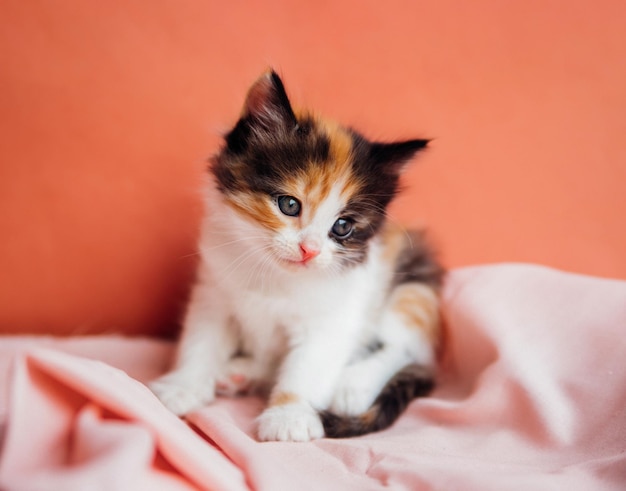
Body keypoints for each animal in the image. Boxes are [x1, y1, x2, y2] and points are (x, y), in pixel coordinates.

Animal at [149, 69, 444, 442]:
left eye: (343, 227)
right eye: (289, 205)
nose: (310, 250)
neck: (274, 276)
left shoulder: (334, 313)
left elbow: (309, 365)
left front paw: (289, 416)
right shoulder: (213, 291)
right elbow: (201, 339)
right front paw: (183, 385)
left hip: (413, 288)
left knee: (404, 349)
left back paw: (353, 386)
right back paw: (241, 373)